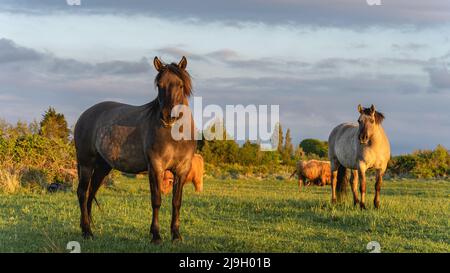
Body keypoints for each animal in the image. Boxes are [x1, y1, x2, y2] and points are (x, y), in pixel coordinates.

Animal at [73, 55, 195, 242]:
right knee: (82, 193)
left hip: (102, 167)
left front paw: (176, 235)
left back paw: (87, 229)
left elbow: (176, 202)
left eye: (180, 85)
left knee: (90, 193)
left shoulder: (182, 170)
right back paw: (87, 231)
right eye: (159, 85)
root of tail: (85, 115)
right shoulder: (155, 167)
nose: (168, 116)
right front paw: (156, 236)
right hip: (86, 164)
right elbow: (156, 200)